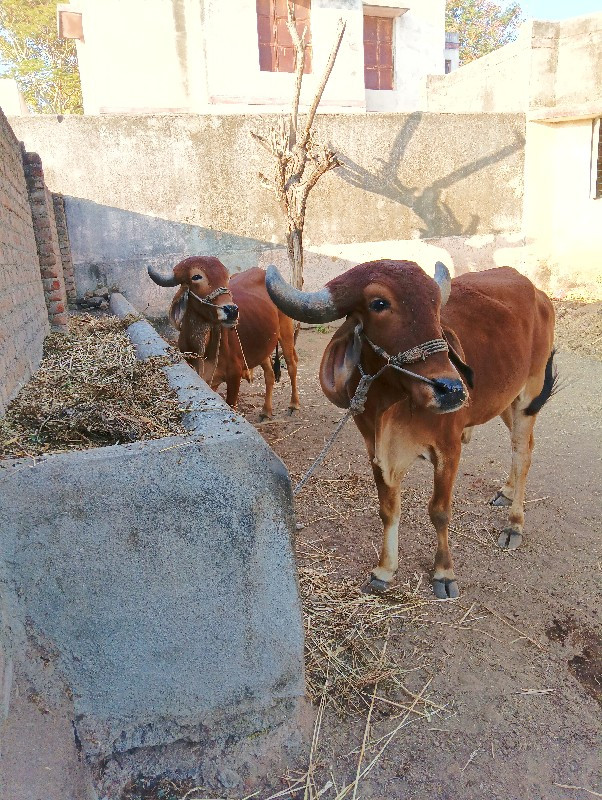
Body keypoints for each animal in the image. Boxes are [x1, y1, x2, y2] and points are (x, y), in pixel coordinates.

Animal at [148, 258, 298, 422]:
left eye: (226, 277)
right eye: (196, 277)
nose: (232, 310)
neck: (202, 348)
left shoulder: (234, 375)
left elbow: (232, 404)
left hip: (286, 332)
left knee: (292, 365)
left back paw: (293, 405)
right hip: (263, 345)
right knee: (269, 374)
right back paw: (266, 411)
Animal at [264, 260, 556, 596]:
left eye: (435, 303)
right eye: (379, 304)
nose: (451, 390)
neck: (393, 403)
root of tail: (537, 292)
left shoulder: (449, 449)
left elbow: (439, 511)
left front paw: (444, 573)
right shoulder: (374, 449)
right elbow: (388, 510)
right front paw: (384, 570)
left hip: (528, 395)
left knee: (523, 454)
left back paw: (514, 524)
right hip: (505, 400)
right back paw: (506, 491)